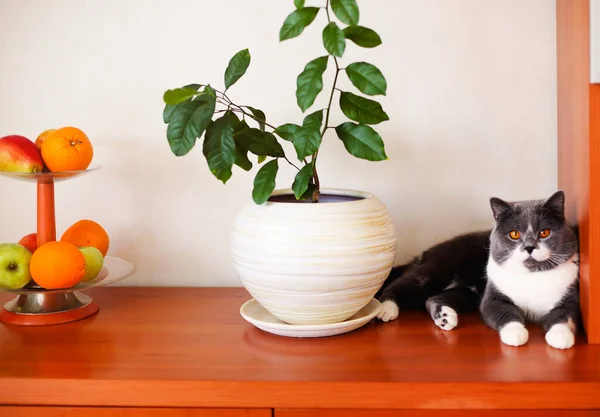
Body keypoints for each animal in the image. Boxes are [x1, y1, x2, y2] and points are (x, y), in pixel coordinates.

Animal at [376, 190, 580, 350]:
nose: (529, 247)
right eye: (514, 234)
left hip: (467, 293)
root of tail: (425, 252)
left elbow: (564, 314)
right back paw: (386, 308)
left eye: (544, 232)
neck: (532, 275)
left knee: (432, 298)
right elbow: (505, 312)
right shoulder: (493, 297)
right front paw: (515, 334)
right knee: (404, 284)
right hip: (438, 269)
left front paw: (561, 337)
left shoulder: (570, 294)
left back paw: (445, 317)